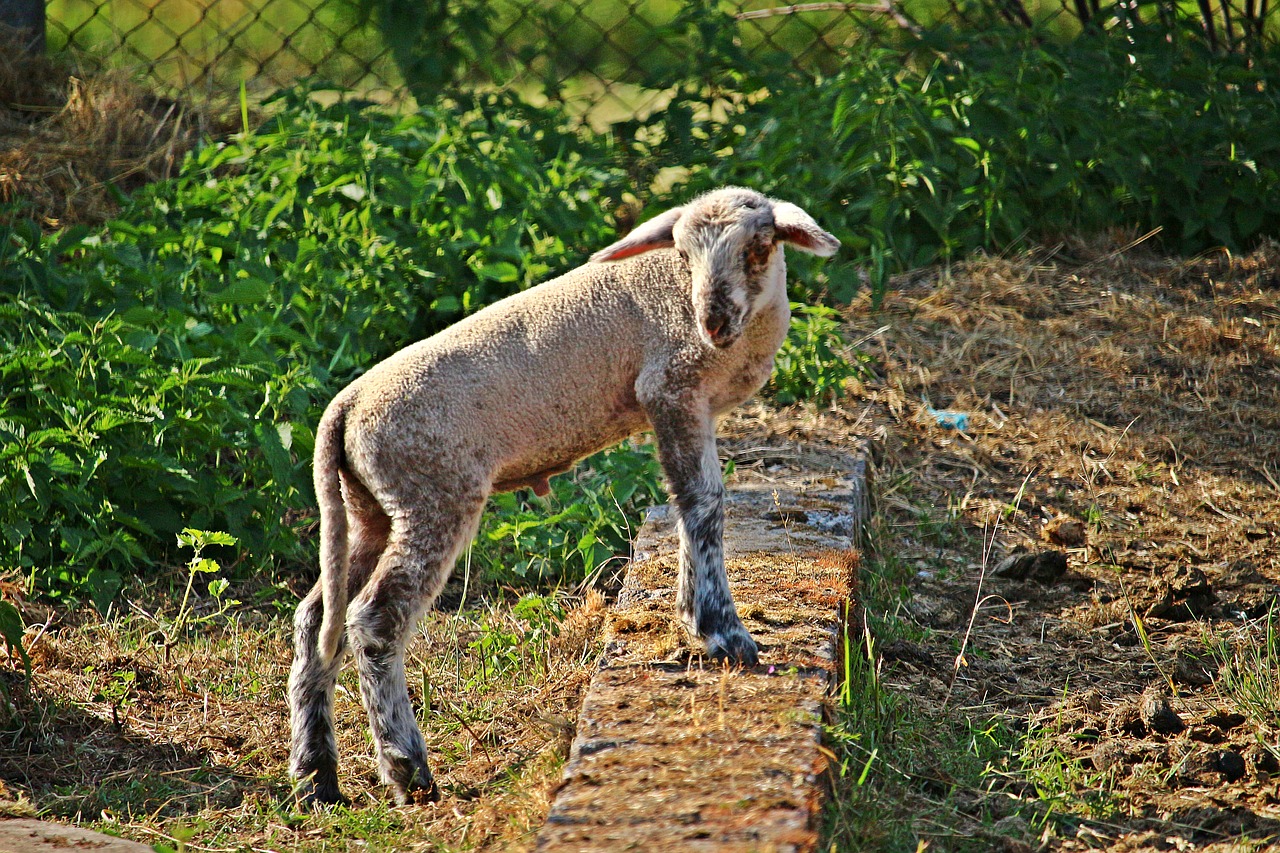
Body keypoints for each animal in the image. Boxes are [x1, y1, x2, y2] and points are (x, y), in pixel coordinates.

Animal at [286, 184, 839, 804]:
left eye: (760, 246)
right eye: (682, 252)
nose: (713, 323)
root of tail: (343, 411)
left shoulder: (686, 404)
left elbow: (687, 503)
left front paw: (695, 616)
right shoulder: (670, 388)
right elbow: (702, 502)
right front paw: (723, 633)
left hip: (368, 509)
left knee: (317, 618)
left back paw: (316, 775)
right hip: (433, 492)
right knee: (373, 619)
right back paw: (407, 770)